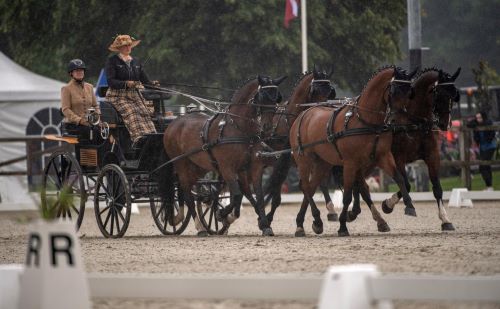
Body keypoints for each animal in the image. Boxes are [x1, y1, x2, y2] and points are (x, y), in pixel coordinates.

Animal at [161, 76, 286, 235]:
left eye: (276, 98)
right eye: (261, 97)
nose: (267, 128)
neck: (239, 129)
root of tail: (174, 123)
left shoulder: (252, 167)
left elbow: (256, 194)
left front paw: (265, 225)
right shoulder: (227, 168)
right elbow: (237, 194)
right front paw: (222, 214)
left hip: (197, 167)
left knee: (188, 191)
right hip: (181, 164)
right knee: (187, 194)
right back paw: (200, 227)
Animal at [290, 67, 418, 236]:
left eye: (409, 92)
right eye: (394, 91)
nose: (398, 121)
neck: (366, 121)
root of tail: (302, 115)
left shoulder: (383, 156)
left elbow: (399, 178)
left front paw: (407, 206)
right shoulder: (350, 163)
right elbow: (347, 196)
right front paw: (343, 226)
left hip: (322, 163)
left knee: (311, 187)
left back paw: (308, 223)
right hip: (304, 160)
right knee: (305, 186)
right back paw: (310, 221)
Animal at [380, 66, 462, 229]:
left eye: (454, 96)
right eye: (439, 95)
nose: (445, 124)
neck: (415, 121)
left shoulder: (432, 156)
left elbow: (437, 188)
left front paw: (445, 219)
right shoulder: (399, 157)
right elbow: (406, 184)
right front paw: (388, 205)